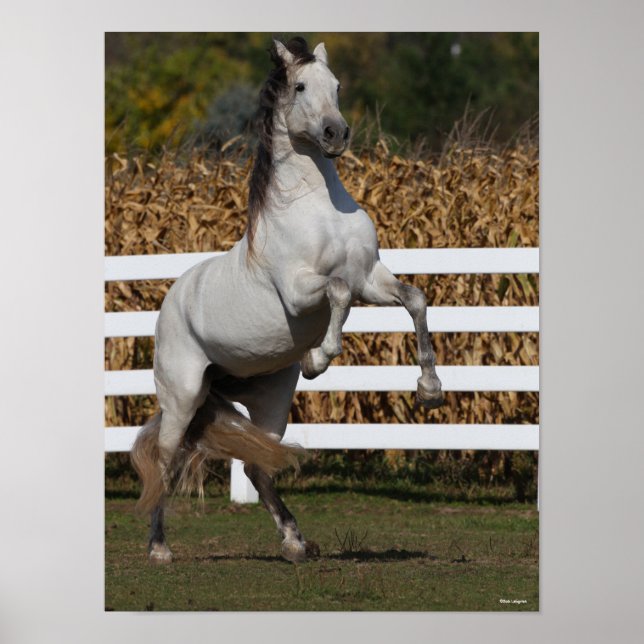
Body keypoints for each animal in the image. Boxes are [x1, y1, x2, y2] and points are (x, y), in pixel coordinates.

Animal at [131, 37, 444, 565]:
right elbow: (337, 294)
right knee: (167, 462)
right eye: (299, 86)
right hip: (182, 397)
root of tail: (171, 300)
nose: (336, 133)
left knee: (257, 468)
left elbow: (414, 299)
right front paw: (318, 359)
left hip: (271, 398)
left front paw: (429, 388)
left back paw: (296, 543)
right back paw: (158, 550)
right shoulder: (302, 291)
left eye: (337, 85)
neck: (318, 208)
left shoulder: (370, 277)